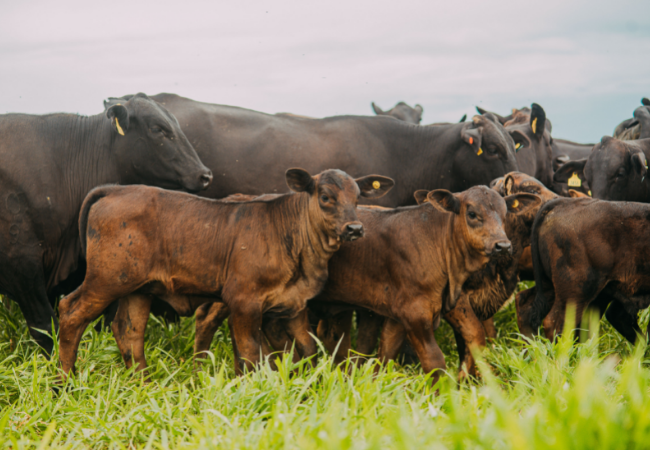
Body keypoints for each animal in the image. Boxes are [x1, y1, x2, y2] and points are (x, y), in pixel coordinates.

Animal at [57, 168, 390, 376]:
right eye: (325, 197)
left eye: (358, 197)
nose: (355, 228)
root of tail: (115, 189)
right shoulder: (243, 301)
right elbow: (251, 353)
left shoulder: (294, 304)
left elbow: (307, 349)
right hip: (106, 280)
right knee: (71, 312)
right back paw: (64, 384)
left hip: (139, 288)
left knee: (129, 331)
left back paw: (143, 383)